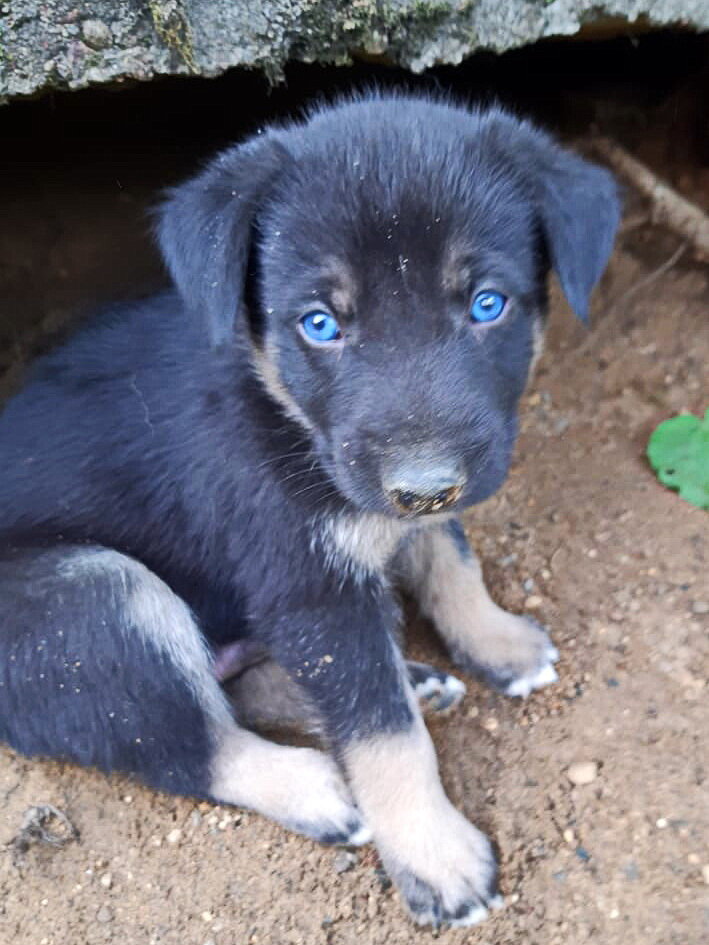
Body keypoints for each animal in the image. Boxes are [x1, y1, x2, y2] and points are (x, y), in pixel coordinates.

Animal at [0, 97, 620, 928]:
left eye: (487, 305)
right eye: (320, 323)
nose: (424, 483)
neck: (280, 405)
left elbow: (449, 555)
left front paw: (497, 640)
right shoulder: (309, 584)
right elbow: (384, 734)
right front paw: (434, 854)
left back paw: (411, 679)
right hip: (91, 599)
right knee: (193, 742)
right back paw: (319, 785)